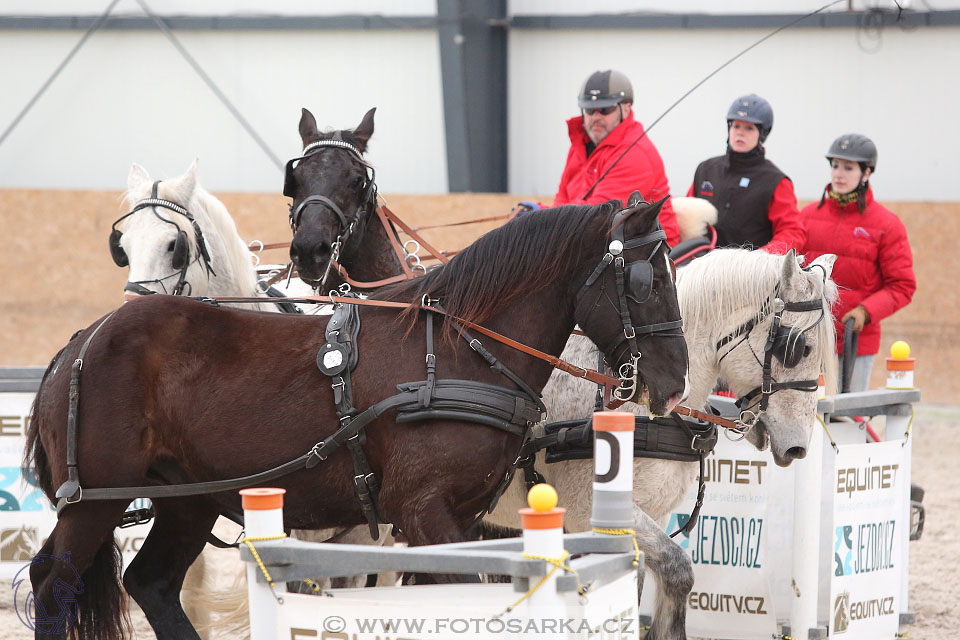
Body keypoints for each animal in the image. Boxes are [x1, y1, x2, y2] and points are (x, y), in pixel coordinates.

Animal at [26, 198, 688, 636]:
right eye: (647, 280)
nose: (675, 381)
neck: (457, 351)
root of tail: (81, 341)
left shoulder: (459, 521)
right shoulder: (422, 512)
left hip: (188, 499)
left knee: (152, 584)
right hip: (97, 500)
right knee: (53, 586)